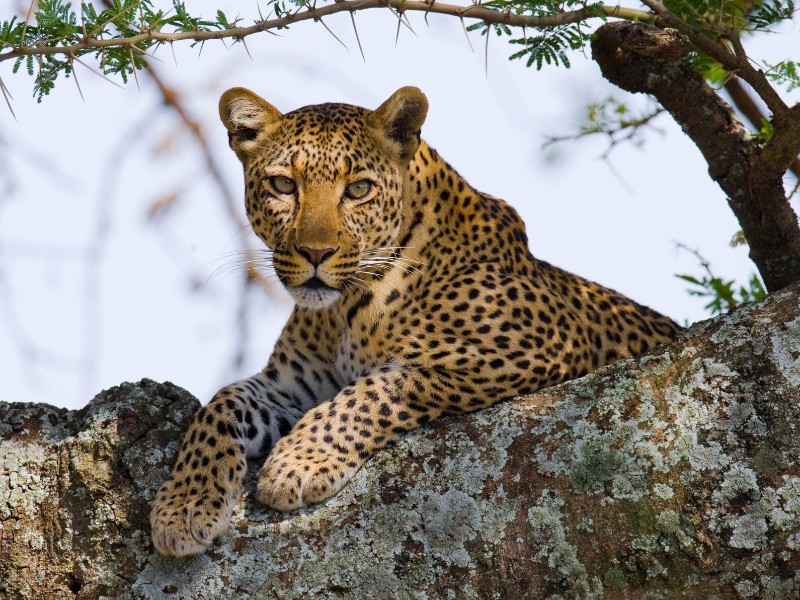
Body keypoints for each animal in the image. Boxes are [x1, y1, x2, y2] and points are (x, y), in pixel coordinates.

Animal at [150, 86, 680, 557]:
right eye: (283, 185)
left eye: (358, 189)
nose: (315, 253)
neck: (343, 313)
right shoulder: (292, 387)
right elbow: (221, 405)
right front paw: (184, 506)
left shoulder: (532, 347)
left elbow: (377, 388)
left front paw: (297, 463)